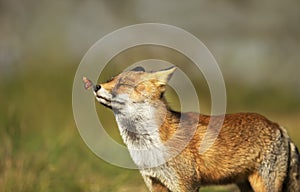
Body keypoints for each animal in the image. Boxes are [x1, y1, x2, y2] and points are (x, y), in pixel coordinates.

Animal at [84, 67, 300, 191]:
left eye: (123, 84)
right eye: (110, 79)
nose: (95, 86)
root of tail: (277, 125)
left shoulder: (186, 183)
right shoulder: (156, 183)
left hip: (263, 184)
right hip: (245, 185)